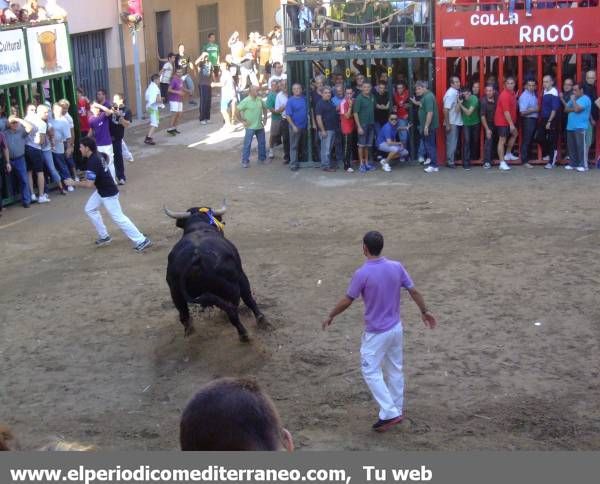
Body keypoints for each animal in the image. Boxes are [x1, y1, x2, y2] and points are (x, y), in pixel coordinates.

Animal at [165, 206, 266, 342]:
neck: (199, 226)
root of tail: (196, 258)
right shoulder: (241, 276)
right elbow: (248, 298)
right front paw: (261, 319)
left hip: (175, 293)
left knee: (184, 315)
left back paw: (190, 331)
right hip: (231, 288)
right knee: (232, 311)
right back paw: (244, 335)